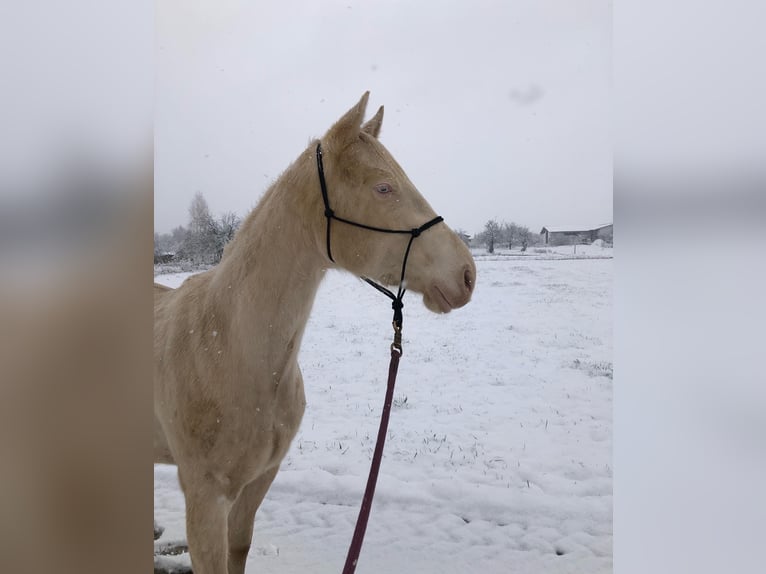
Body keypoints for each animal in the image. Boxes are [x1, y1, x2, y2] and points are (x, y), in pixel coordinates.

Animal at [155, 92, 476, 572]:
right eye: (383, 187)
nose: (467, 274)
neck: (226, 347)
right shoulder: (204, 497)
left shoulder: (258, 482)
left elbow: (239, 549)